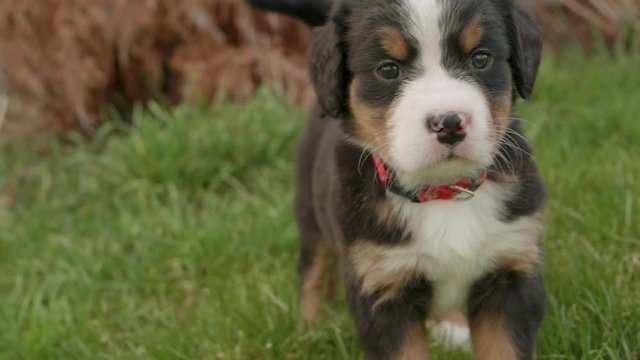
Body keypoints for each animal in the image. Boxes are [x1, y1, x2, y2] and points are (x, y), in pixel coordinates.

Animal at [250, 0, 544, 358]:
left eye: (481, 58)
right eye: (389, 69)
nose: (449, 123)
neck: (442, 193)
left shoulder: (511, 270)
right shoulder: (382, 286)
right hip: (310, 209)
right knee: (313, 271)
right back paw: (310, 332)